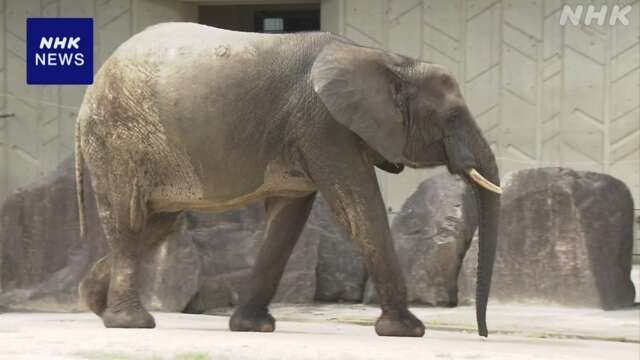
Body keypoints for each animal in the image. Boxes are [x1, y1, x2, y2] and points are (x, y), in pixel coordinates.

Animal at [77, 23, 502, 338]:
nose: (483, 334)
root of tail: (87, 96)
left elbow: (285, 223)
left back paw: (95, 306)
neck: (388, 60)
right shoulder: (324, 127)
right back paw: (130, 323)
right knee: (129, 222)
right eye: (452, 117)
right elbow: (359, 212)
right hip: (119, 141)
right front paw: (407, 330)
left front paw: (253, 328)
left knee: (156, 226)